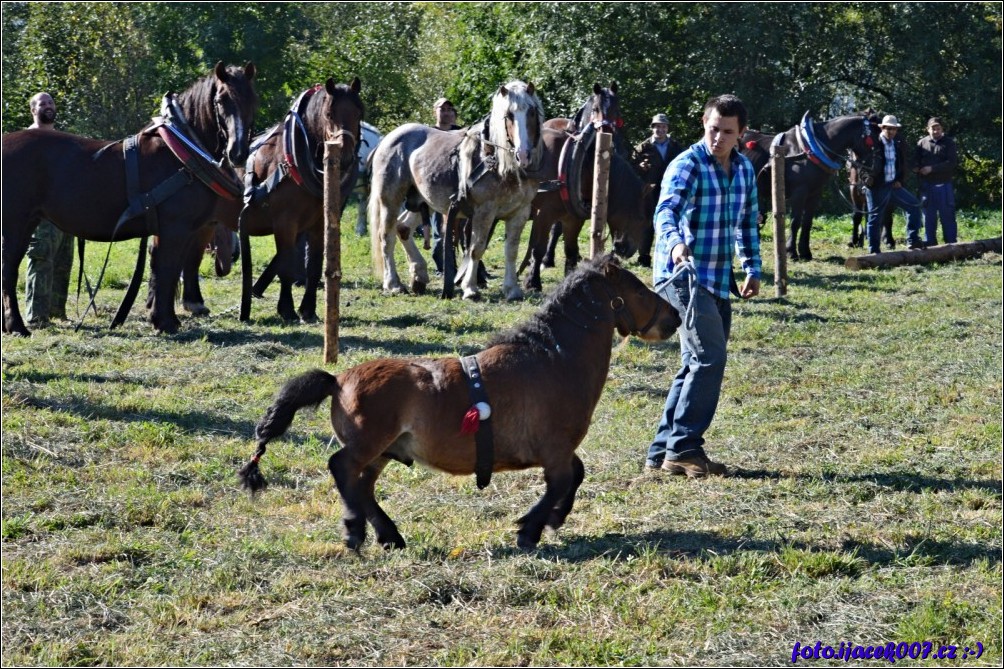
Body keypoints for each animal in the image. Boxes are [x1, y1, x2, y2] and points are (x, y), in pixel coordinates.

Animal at [236, 253, 682, 550]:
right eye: (638, 288)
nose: (675, 317)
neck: (554, 358)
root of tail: (338, 379)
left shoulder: (557, 450)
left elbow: (576, 475)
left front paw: (551, 520)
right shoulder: (555, 451)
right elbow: (563, 481)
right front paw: (531, 529)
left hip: (383, 451)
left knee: (362, 484)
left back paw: (388, 535)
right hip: (368, 444)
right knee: (343, 470)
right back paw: (356, 530)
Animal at [738, 110, 879, 259]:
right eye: (873, 139)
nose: (876, 169)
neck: (809, 150)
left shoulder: (814, 193)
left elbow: (807, 222)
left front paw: (805, 252)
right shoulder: (799, 192)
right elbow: (795, 221)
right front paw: (791, 251)